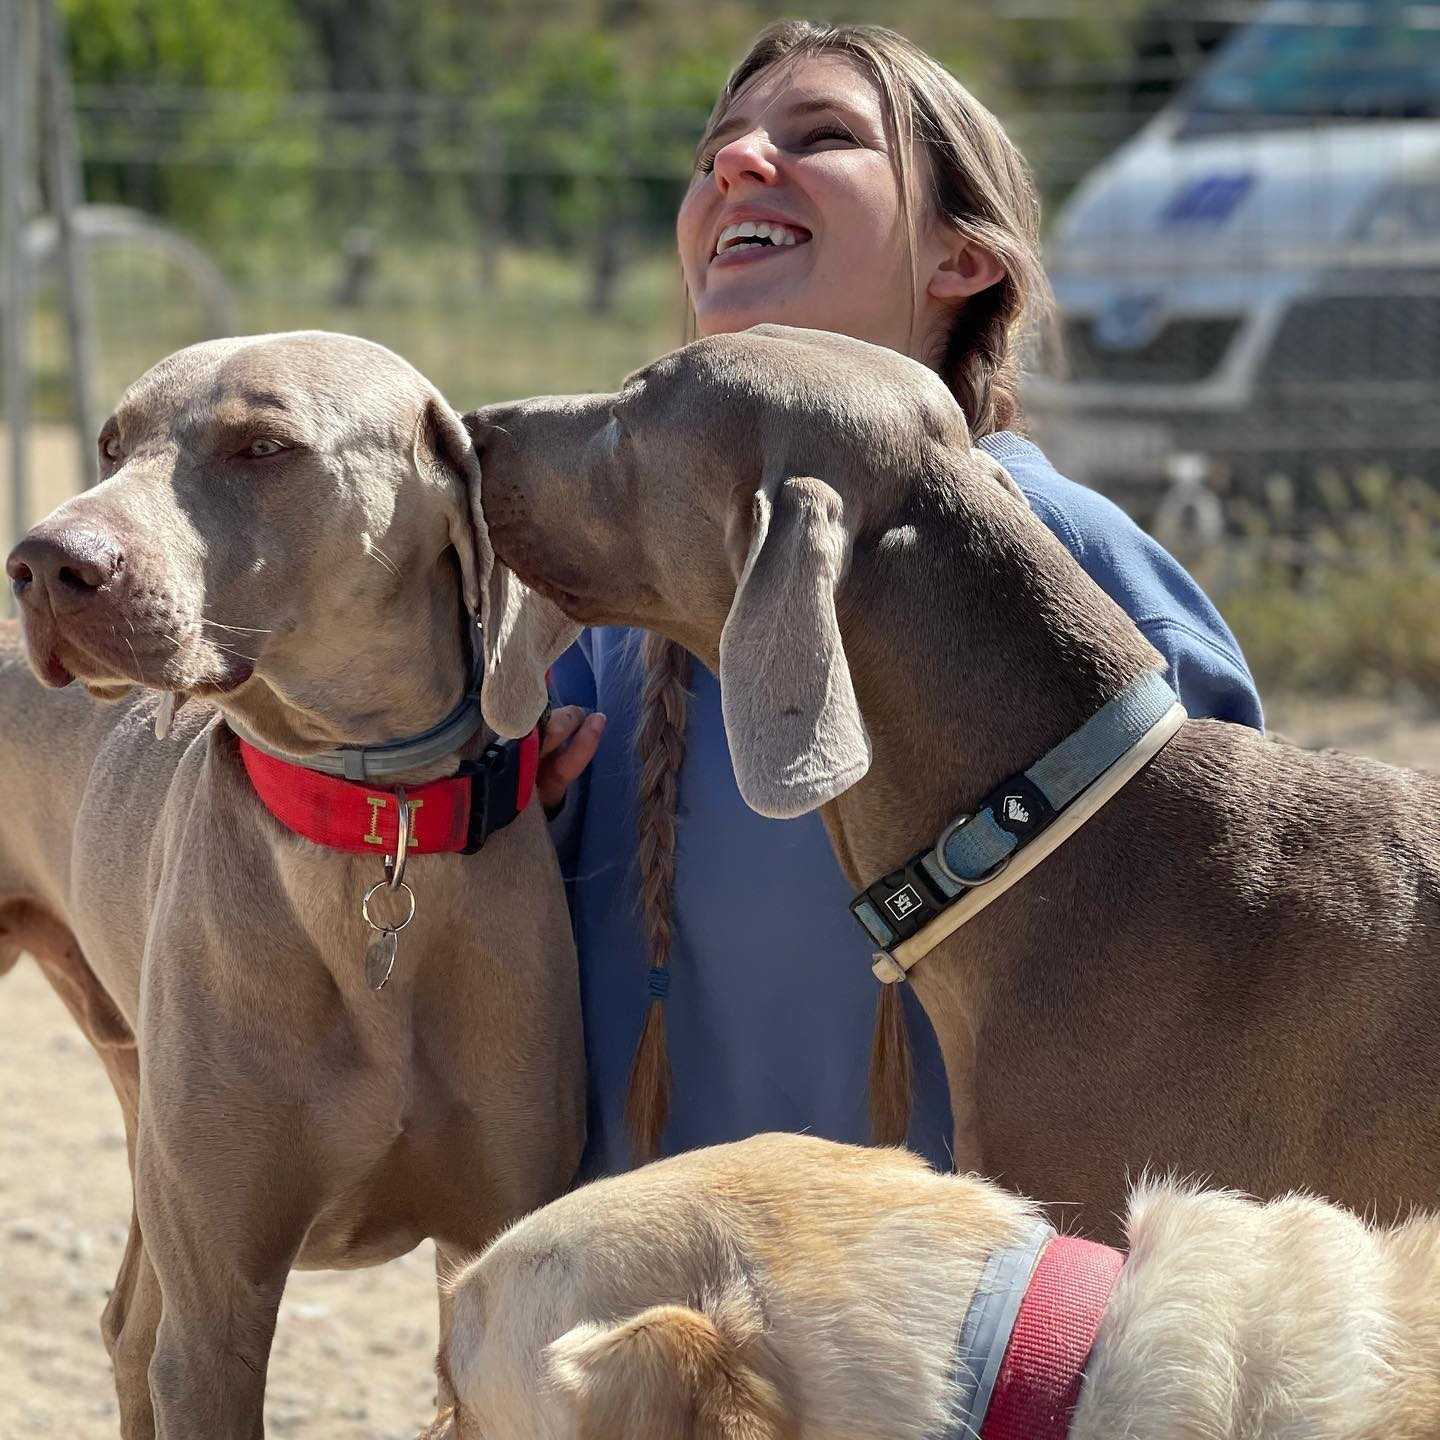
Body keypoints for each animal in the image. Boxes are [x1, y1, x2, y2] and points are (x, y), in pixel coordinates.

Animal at [2, 331, 584, 1434]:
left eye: (263, 447)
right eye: (110, 444)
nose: (44, 563)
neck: (369, 819)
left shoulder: (494, 1250)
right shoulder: (219, 1317)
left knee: (127, 1325)